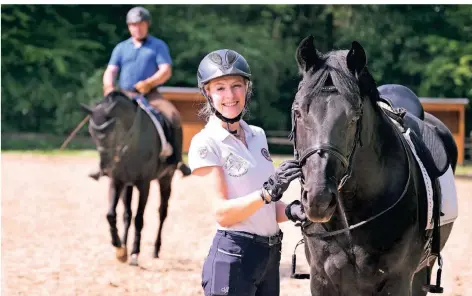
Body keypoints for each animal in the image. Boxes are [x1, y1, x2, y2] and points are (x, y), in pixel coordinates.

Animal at [80, 91, 190, 266]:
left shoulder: (144, 185)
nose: (105, 167)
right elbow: (111, 214)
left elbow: (139, 218)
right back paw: (124, 245)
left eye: (112, 132)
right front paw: (119, 248)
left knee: (162, 212)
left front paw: (134, 254)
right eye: (91, 133)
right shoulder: (117, 181)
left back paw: (155, 250)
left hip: (166, 178)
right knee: (127, 214)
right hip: (128, 185)